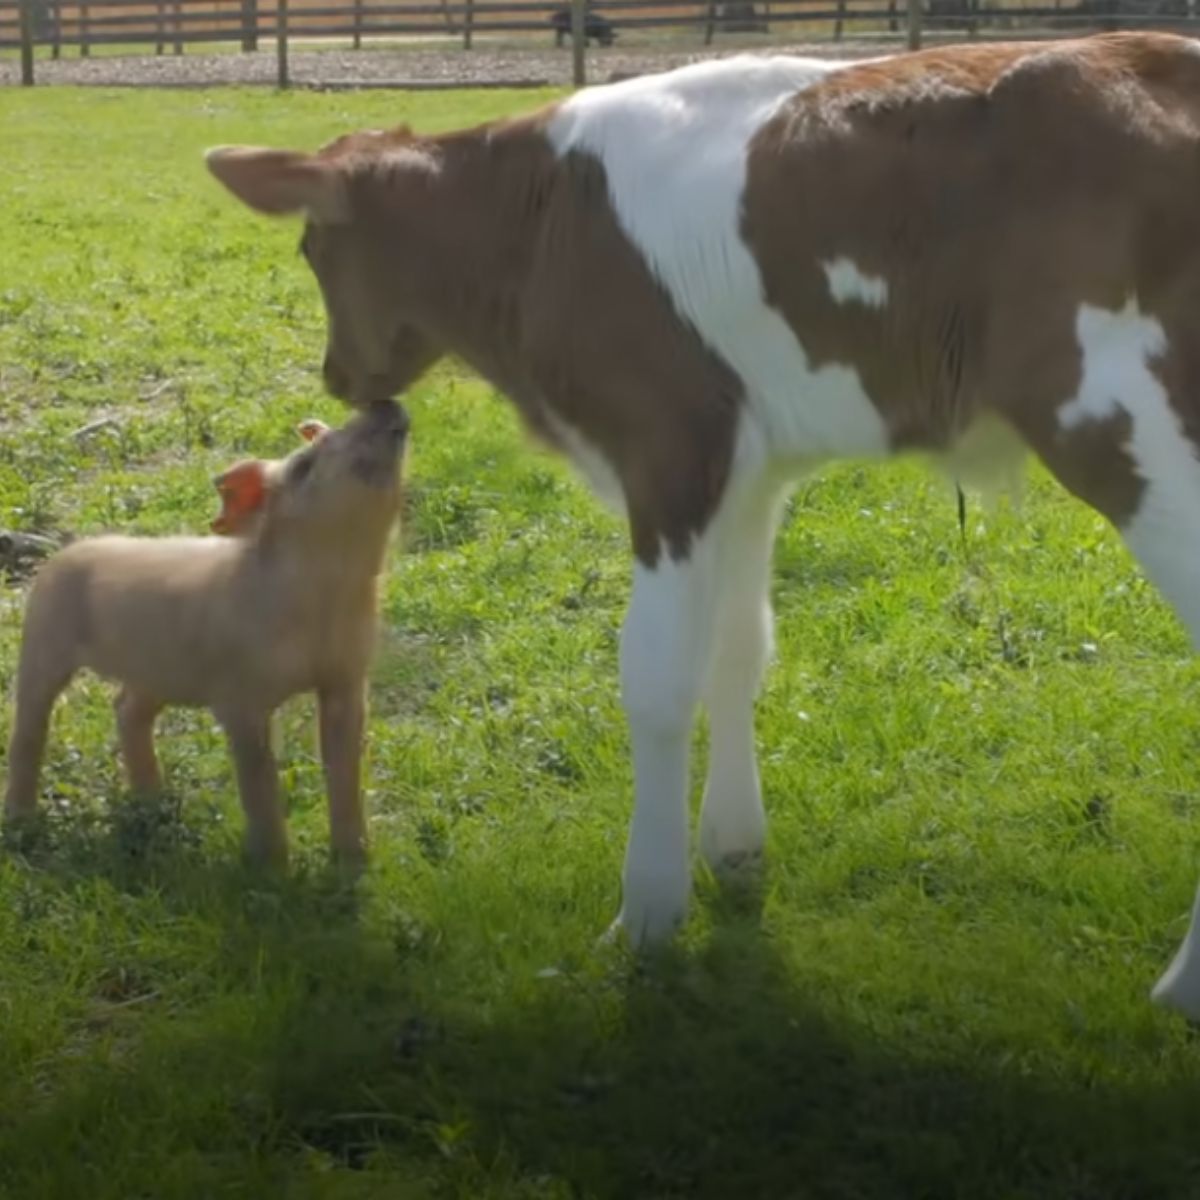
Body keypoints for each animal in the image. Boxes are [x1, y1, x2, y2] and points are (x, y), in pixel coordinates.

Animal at [211, 32, 1200, 1017]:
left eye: (312, 245)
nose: (337, 375)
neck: (534, 229)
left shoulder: (669, 449)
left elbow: (655, 677)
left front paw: (647, 910)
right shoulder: (748, 469)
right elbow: (737, 650)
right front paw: (733, 848)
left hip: (1126, 426)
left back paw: (1182, 986)